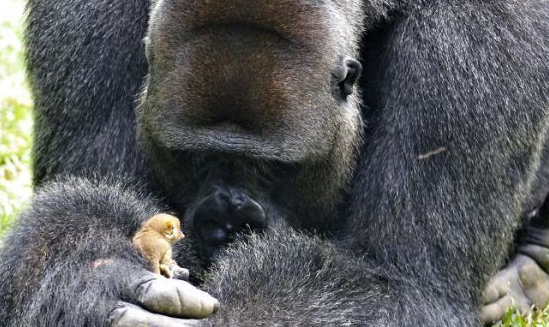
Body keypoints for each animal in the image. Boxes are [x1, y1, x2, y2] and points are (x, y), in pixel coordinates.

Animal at [1, 0, 548, 326]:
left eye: (274, 169)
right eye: (194, 158)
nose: (228, 223)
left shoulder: (478, 38)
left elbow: (396, 281)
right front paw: (88, 274)